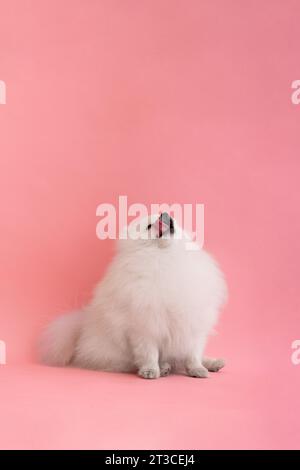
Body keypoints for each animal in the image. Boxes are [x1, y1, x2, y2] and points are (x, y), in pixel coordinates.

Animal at [40, 213, 227, 378]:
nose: (164, 214)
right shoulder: (144, 325)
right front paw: (150, 370)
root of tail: (83, 327)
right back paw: (164, 367)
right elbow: (149, 352)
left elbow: (192, 354)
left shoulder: (192, 325)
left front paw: (197, 369)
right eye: (149, 226)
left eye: (170, 218)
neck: (164, 257)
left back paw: (212, 363)